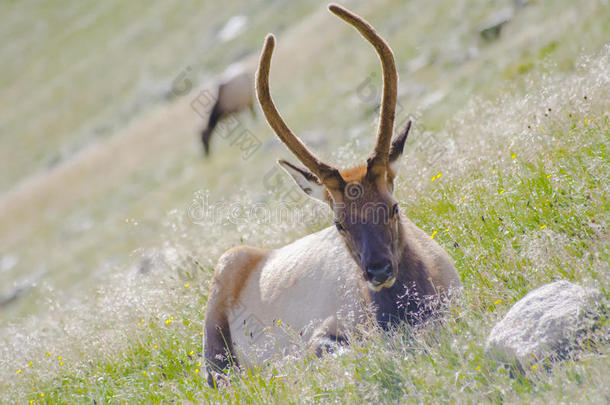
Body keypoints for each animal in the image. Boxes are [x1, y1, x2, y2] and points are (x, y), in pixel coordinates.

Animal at [202, 3, 458, 386]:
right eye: (339, 223)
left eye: (394, 207)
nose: (378, 271)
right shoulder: (321, 330)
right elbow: (333, 349)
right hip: (216, 337)